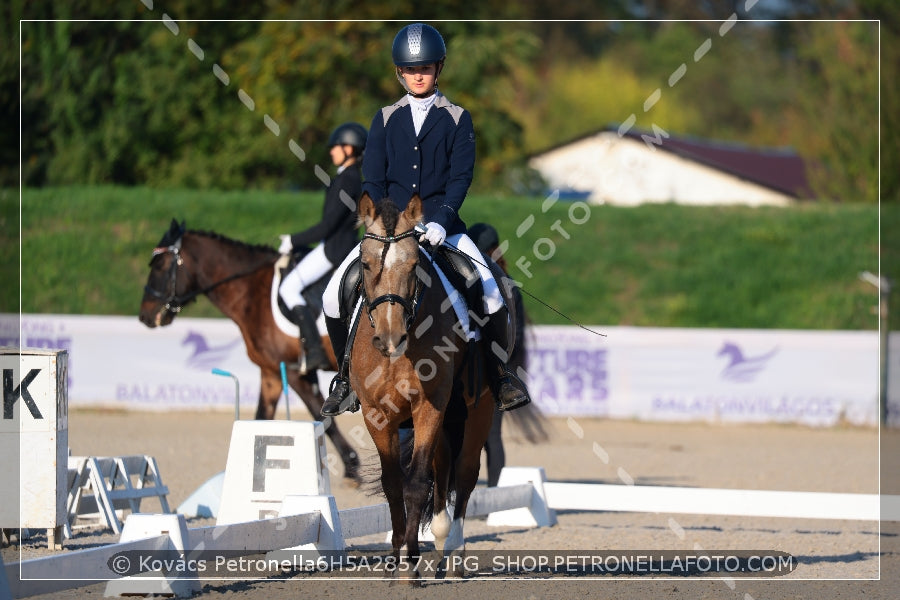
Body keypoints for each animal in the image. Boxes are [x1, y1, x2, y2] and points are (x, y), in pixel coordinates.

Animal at [137, 220, 358, 482]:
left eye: (160, 265)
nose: (145, 316)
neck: (252, 292)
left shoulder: (295, 372)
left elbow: (323, 417)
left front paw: (353, 466)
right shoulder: (272, 372)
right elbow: (262, 417)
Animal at [348, 196, 500, 580]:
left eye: (415, 264)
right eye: (366, 263)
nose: (390, 338)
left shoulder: (429, 405)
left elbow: (416, 483)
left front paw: (411, 568)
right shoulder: (377, 414)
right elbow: (393, 484)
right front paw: (396, 559)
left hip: (479, 406)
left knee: (465, 472)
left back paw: (455, 554)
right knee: (442, 465)